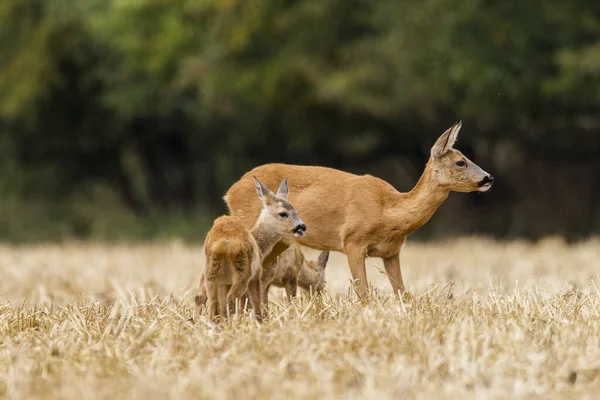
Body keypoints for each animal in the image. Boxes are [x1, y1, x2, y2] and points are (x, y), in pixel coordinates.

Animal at [198, 177, 304, 320]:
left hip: (211, 271)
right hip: (243, 271)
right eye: (283, 213)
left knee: (207, 299)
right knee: (231, 298)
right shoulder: (257, 275)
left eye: (296, 212)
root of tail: (225, 243)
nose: (302, 226)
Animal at [223, 122, 494, 300]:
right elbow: (364, 294)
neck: (387, 212)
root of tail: (230, 191)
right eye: (461, 162)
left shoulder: (392, 252)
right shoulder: (352, 241)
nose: (488, 178)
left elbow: (403, 294)